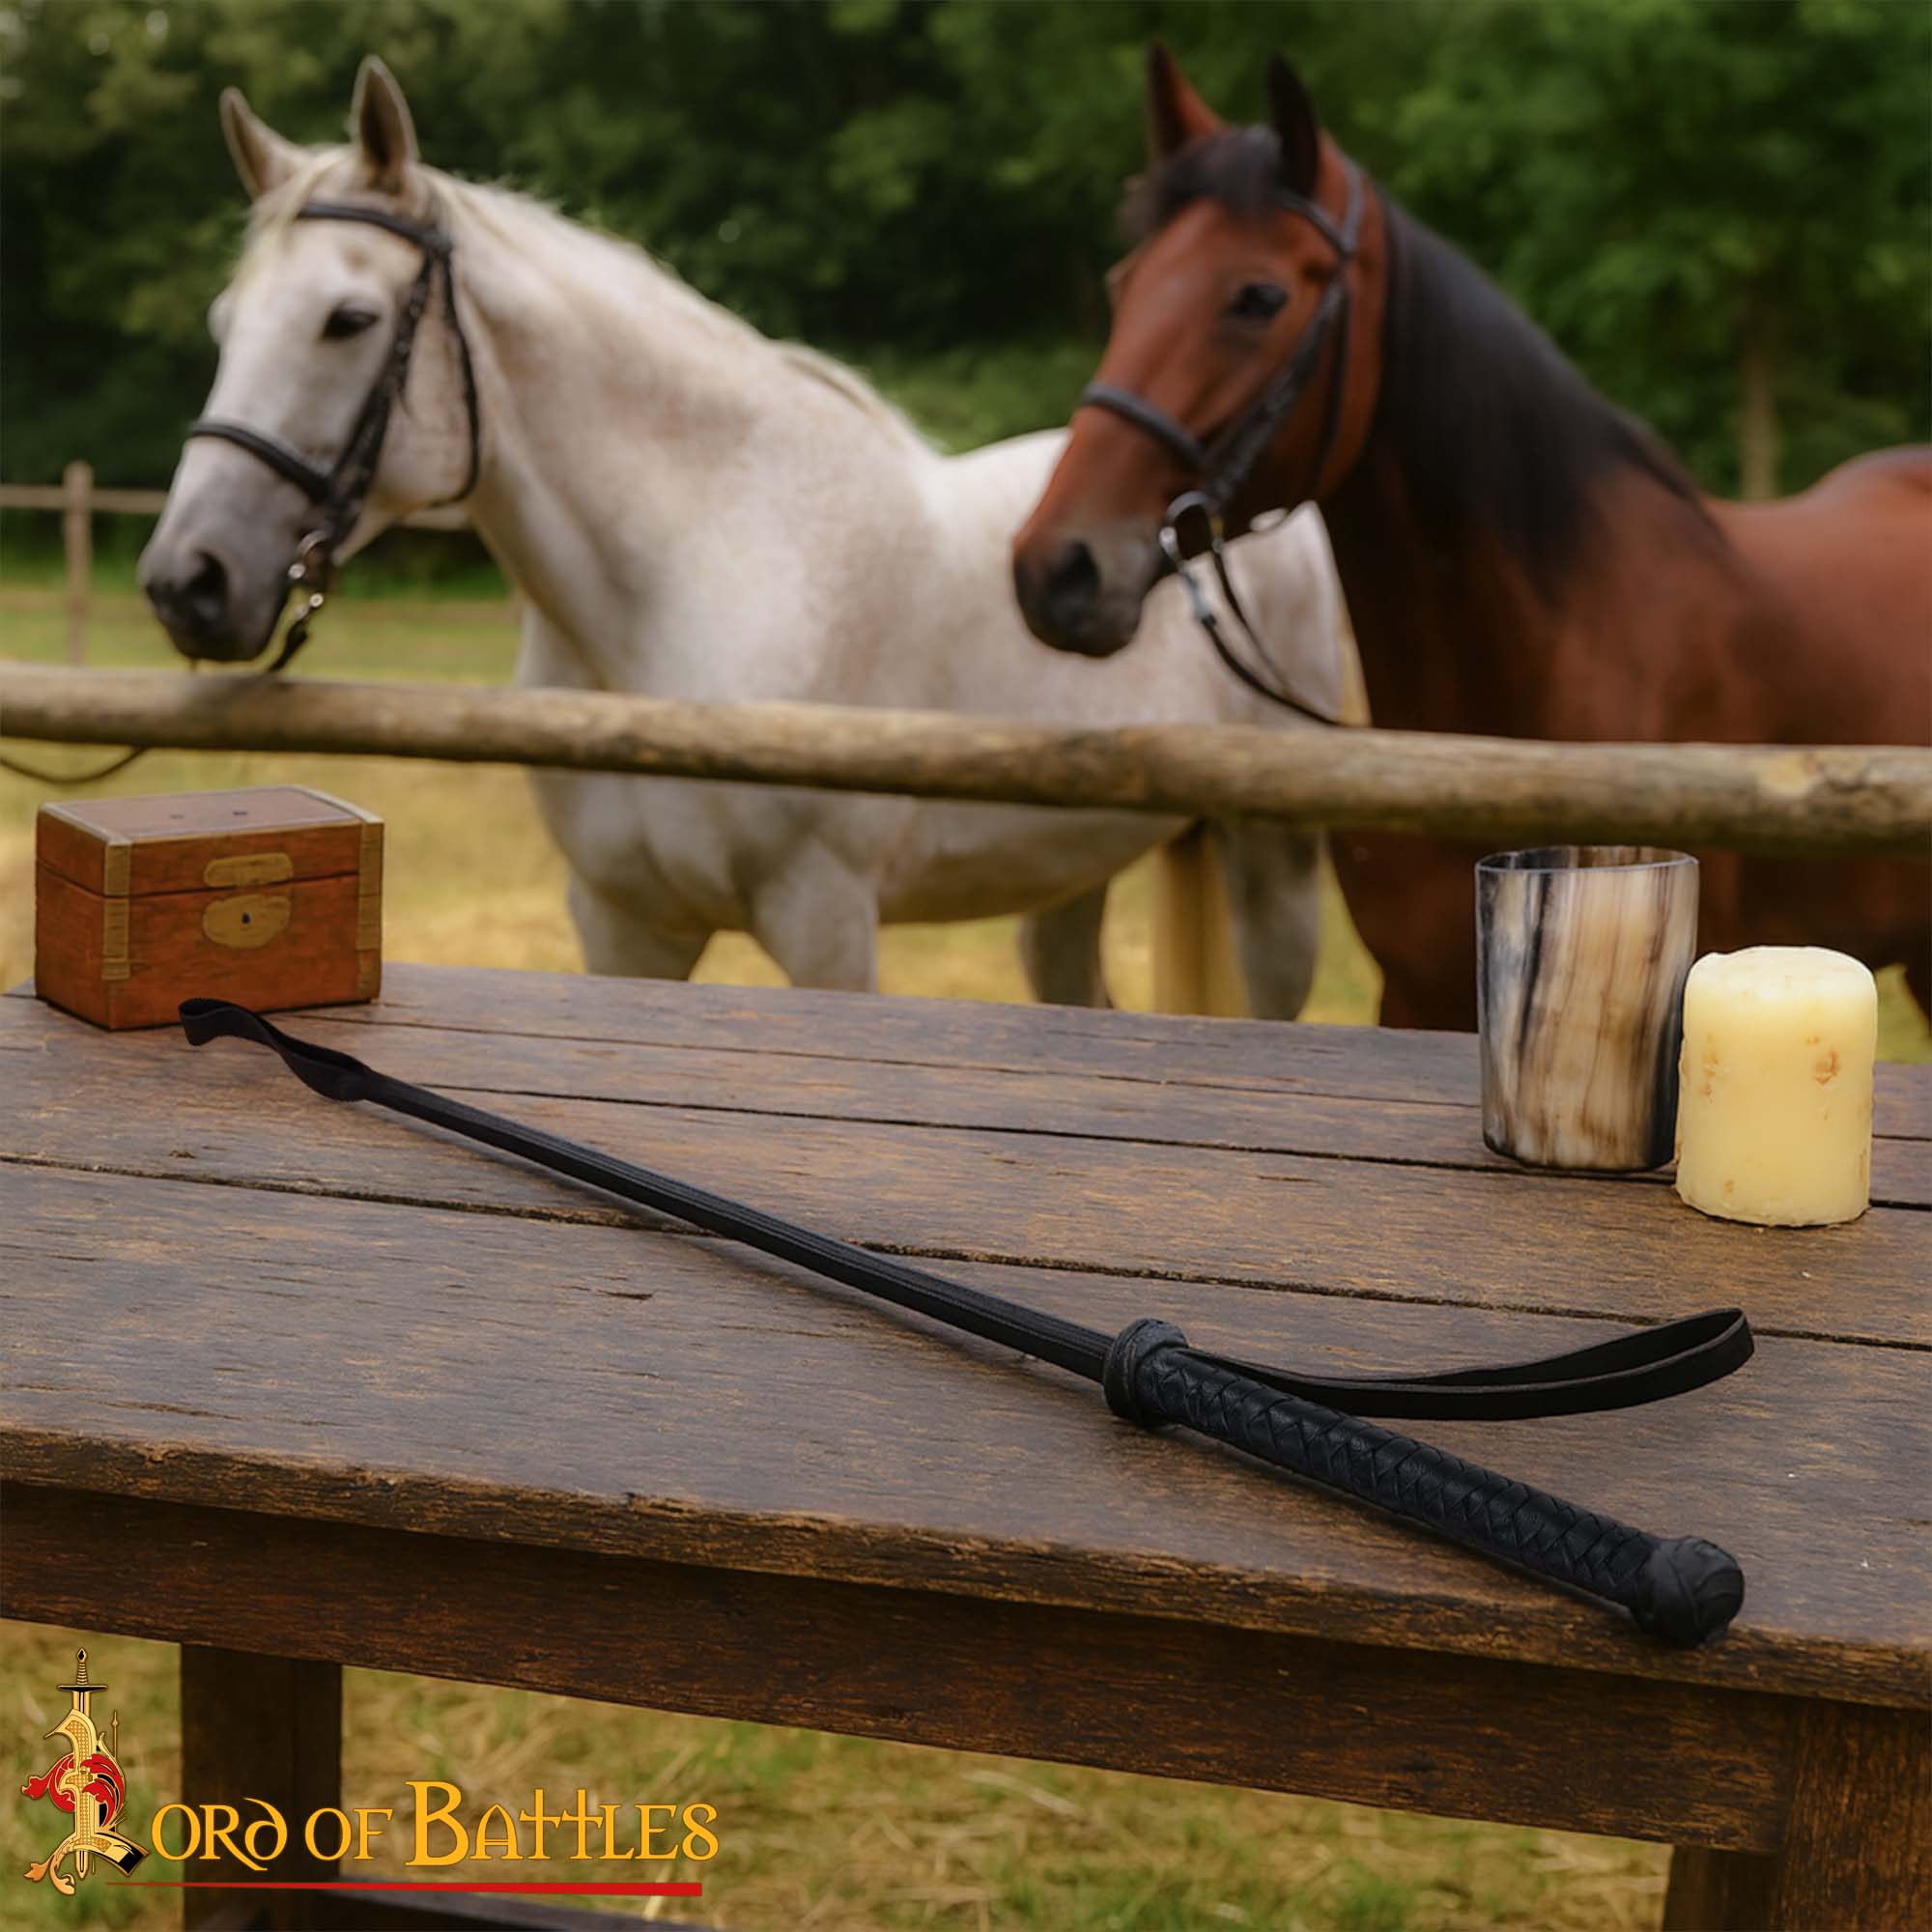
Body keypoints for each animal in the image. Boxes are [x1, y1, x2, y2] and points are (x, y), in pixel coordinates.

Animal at [137, 57, 1348, 1015]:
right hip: (1067, 874)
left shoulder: (826, 921)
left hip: (1270, 865)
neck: (684, 587)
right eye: (224, 322)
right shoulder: (624, 922)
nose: (188, 579)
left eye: (348, 320)